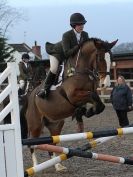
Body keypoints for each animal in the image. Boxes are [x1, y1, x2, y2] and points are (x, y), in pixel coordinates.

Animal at [25, 37, 117, 171]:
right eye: (100, 58)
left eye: (111, 58)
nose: (106, 84)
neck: (80, 71)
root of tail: (31, 95)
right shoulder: (73, 96)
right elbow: (93, 96)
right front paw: (86, 111)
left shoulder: (88, 94)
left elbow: (99, 104)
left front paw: (86, 111)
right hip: (35, 124)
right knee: (33, 144)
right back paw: (36, 166)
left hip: (56, 124)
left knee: (51, 143)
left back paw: (58, 166)